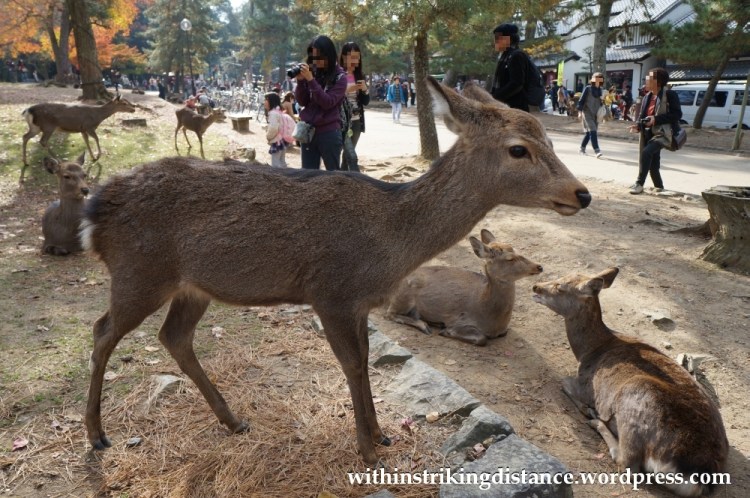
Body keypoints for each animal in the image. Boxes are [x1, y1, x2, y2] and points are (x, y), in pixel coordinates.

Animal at [385, 229, 543, 346]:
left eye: (515, 249)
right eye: (510, 258)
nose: (539, 266)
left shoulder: (503, 330)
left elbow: (504, 333)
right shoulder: (458, 320)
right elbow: (481, 339)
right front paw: (446, 331)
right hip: (404, 295)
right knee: (390, 314)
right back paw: (425, 325)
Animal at [532, 268, 728, 497]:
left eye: (560, 287)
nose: (535, 287)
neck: (588, 351)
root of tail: (700, 477)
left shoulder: (585, 386)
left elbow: (563, 381)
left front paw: (588, 409)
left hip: (634, 399)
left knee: (627, 464)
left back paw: (596, 420)